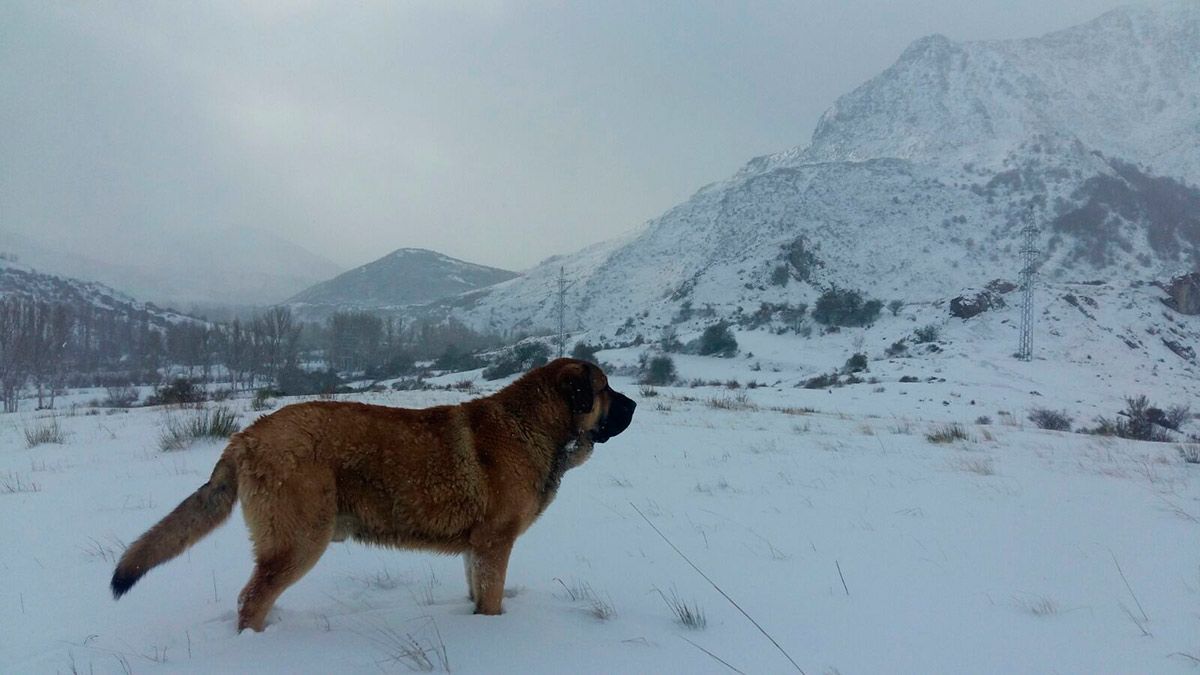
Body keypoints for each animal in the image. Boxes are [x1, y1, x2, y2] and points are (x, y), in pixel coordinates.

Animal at [112, 357, 638, 629]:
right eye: (605, 389)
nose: (634, 405)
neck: (534, 426)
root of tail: (246, 436)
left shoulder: (478, 548)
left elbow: (477, 592)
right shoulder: (495, 543)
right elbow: (491, 600)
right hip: (299, 542)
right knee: (250, 600)